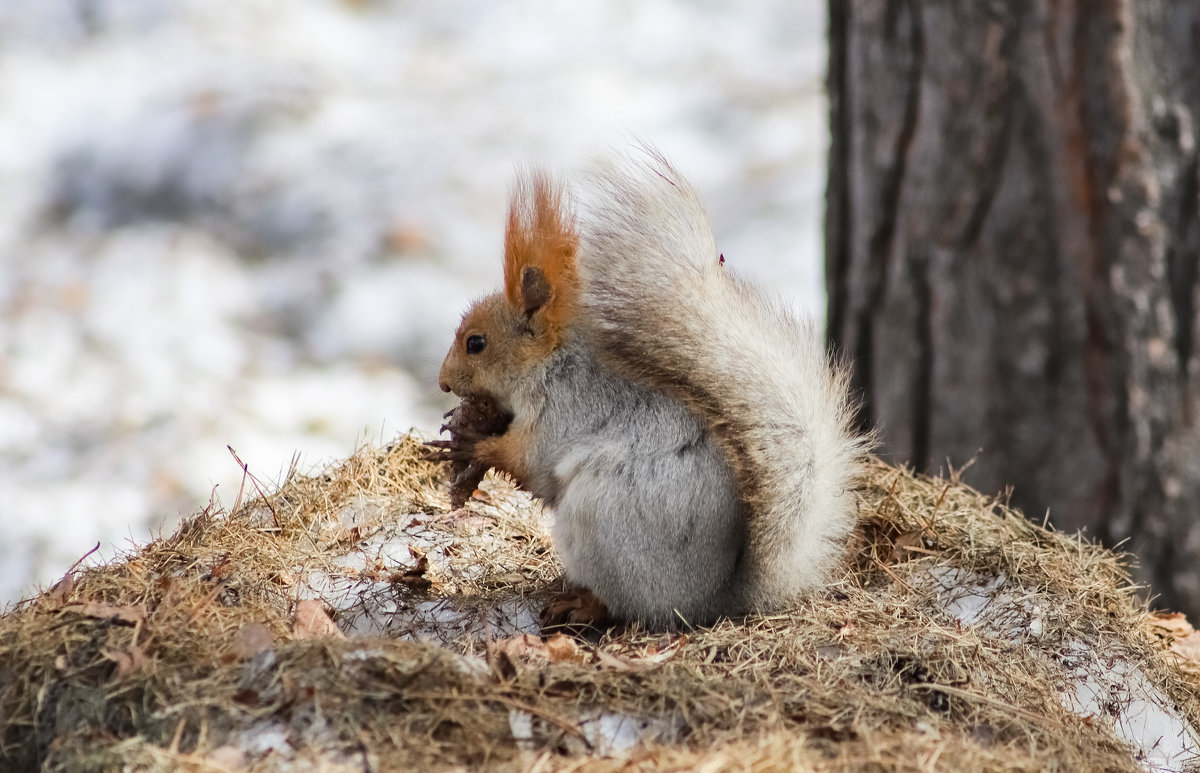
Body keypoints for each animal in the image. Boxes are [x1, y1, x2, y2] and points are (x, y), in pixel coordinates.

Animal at [436, 151, 868, 628]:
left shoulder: (566, 408)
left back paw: (582, 605)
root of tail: (714, 601)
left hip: (599, 521)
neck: (552, 362)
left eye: (476, 343)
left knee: (621, 605)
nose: (443, 383)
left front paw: (475, 445)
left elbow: (531, 460)